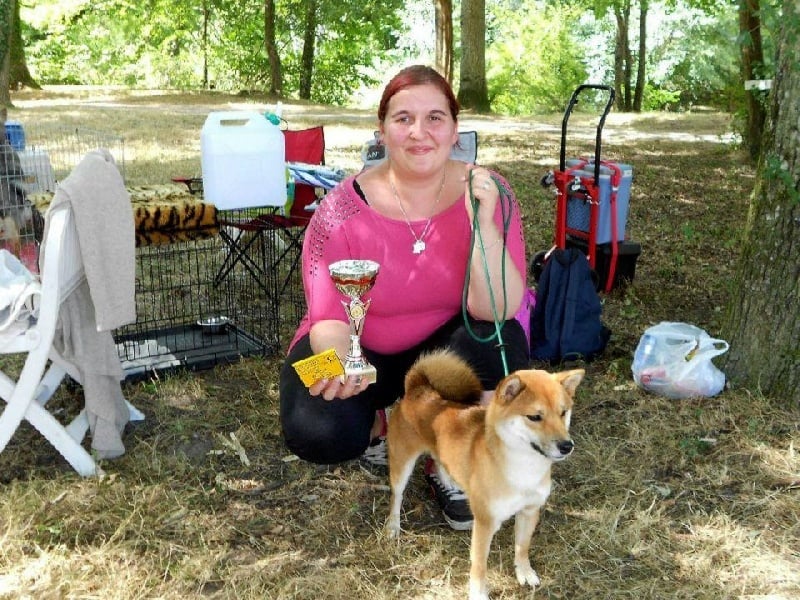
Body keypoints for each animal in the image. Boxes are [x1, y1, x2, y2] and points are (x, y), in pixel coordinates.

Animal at [385, 350, 584, 600]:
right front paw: (479, 593)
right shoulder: (485, 522)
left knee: (440, 462)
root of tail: (418, 389)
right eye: (534, 417)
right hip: (402, 463)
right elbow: (479, 565)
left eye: (563, 412)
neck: (523, 469)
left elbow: (522, 547)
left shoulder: (529, 511)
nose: (567, 446)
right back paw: (393, 525)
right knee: (397, 495)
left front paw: (524, 572)